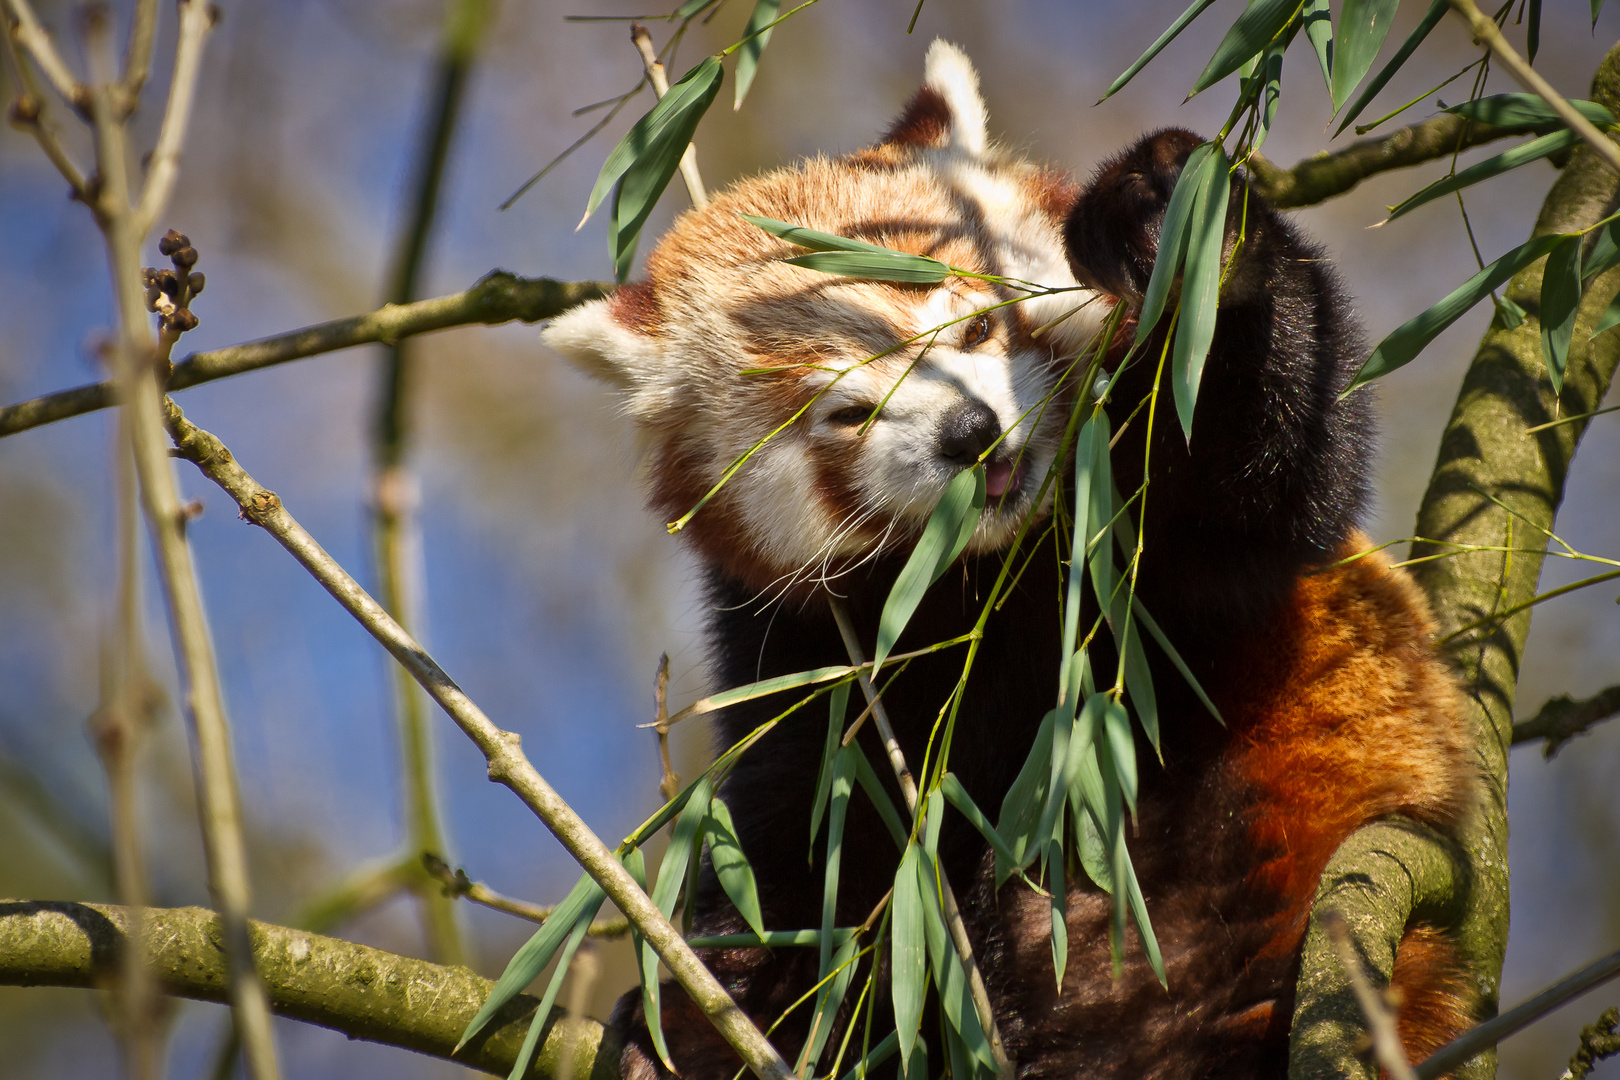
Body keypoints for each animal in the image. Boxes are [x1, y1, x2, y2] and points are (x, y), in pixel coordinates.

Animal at [544, 38, 1483, 1080]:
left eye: (977, 327)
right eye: (849, 411)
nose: (969, 432)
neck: (995, 570)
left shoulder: (1168, 546)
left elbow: (1277, 464)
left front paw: (1191, 237)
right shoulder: (806, 655)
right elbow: (803, 855)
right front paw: (692, 1021)